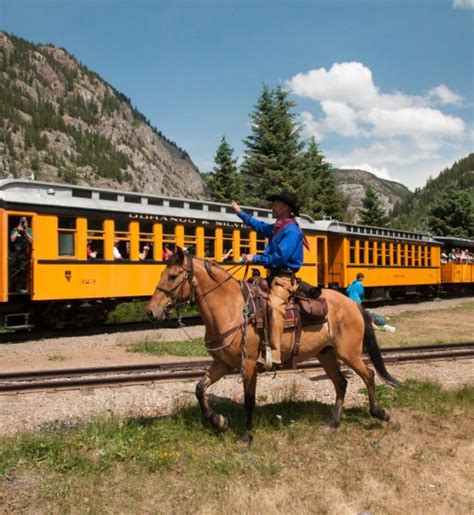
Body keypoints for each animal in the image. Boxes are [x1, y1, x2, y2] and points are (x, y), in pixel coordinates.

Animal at [146, 248, 398, 442]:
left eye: (173, 276)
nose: (150, 311)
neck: (231, 309)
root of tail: (353, 304)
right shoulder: (222, 364)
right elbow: (199, 389)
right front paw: (219, 421)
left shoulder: (248, 366)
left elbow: (249, 400)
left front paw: (247, 436)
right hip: (326, 354)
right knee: (341, 383)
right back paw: (333, 422)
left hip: (349, 353)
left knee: (369, 375)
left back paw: (380, 413)